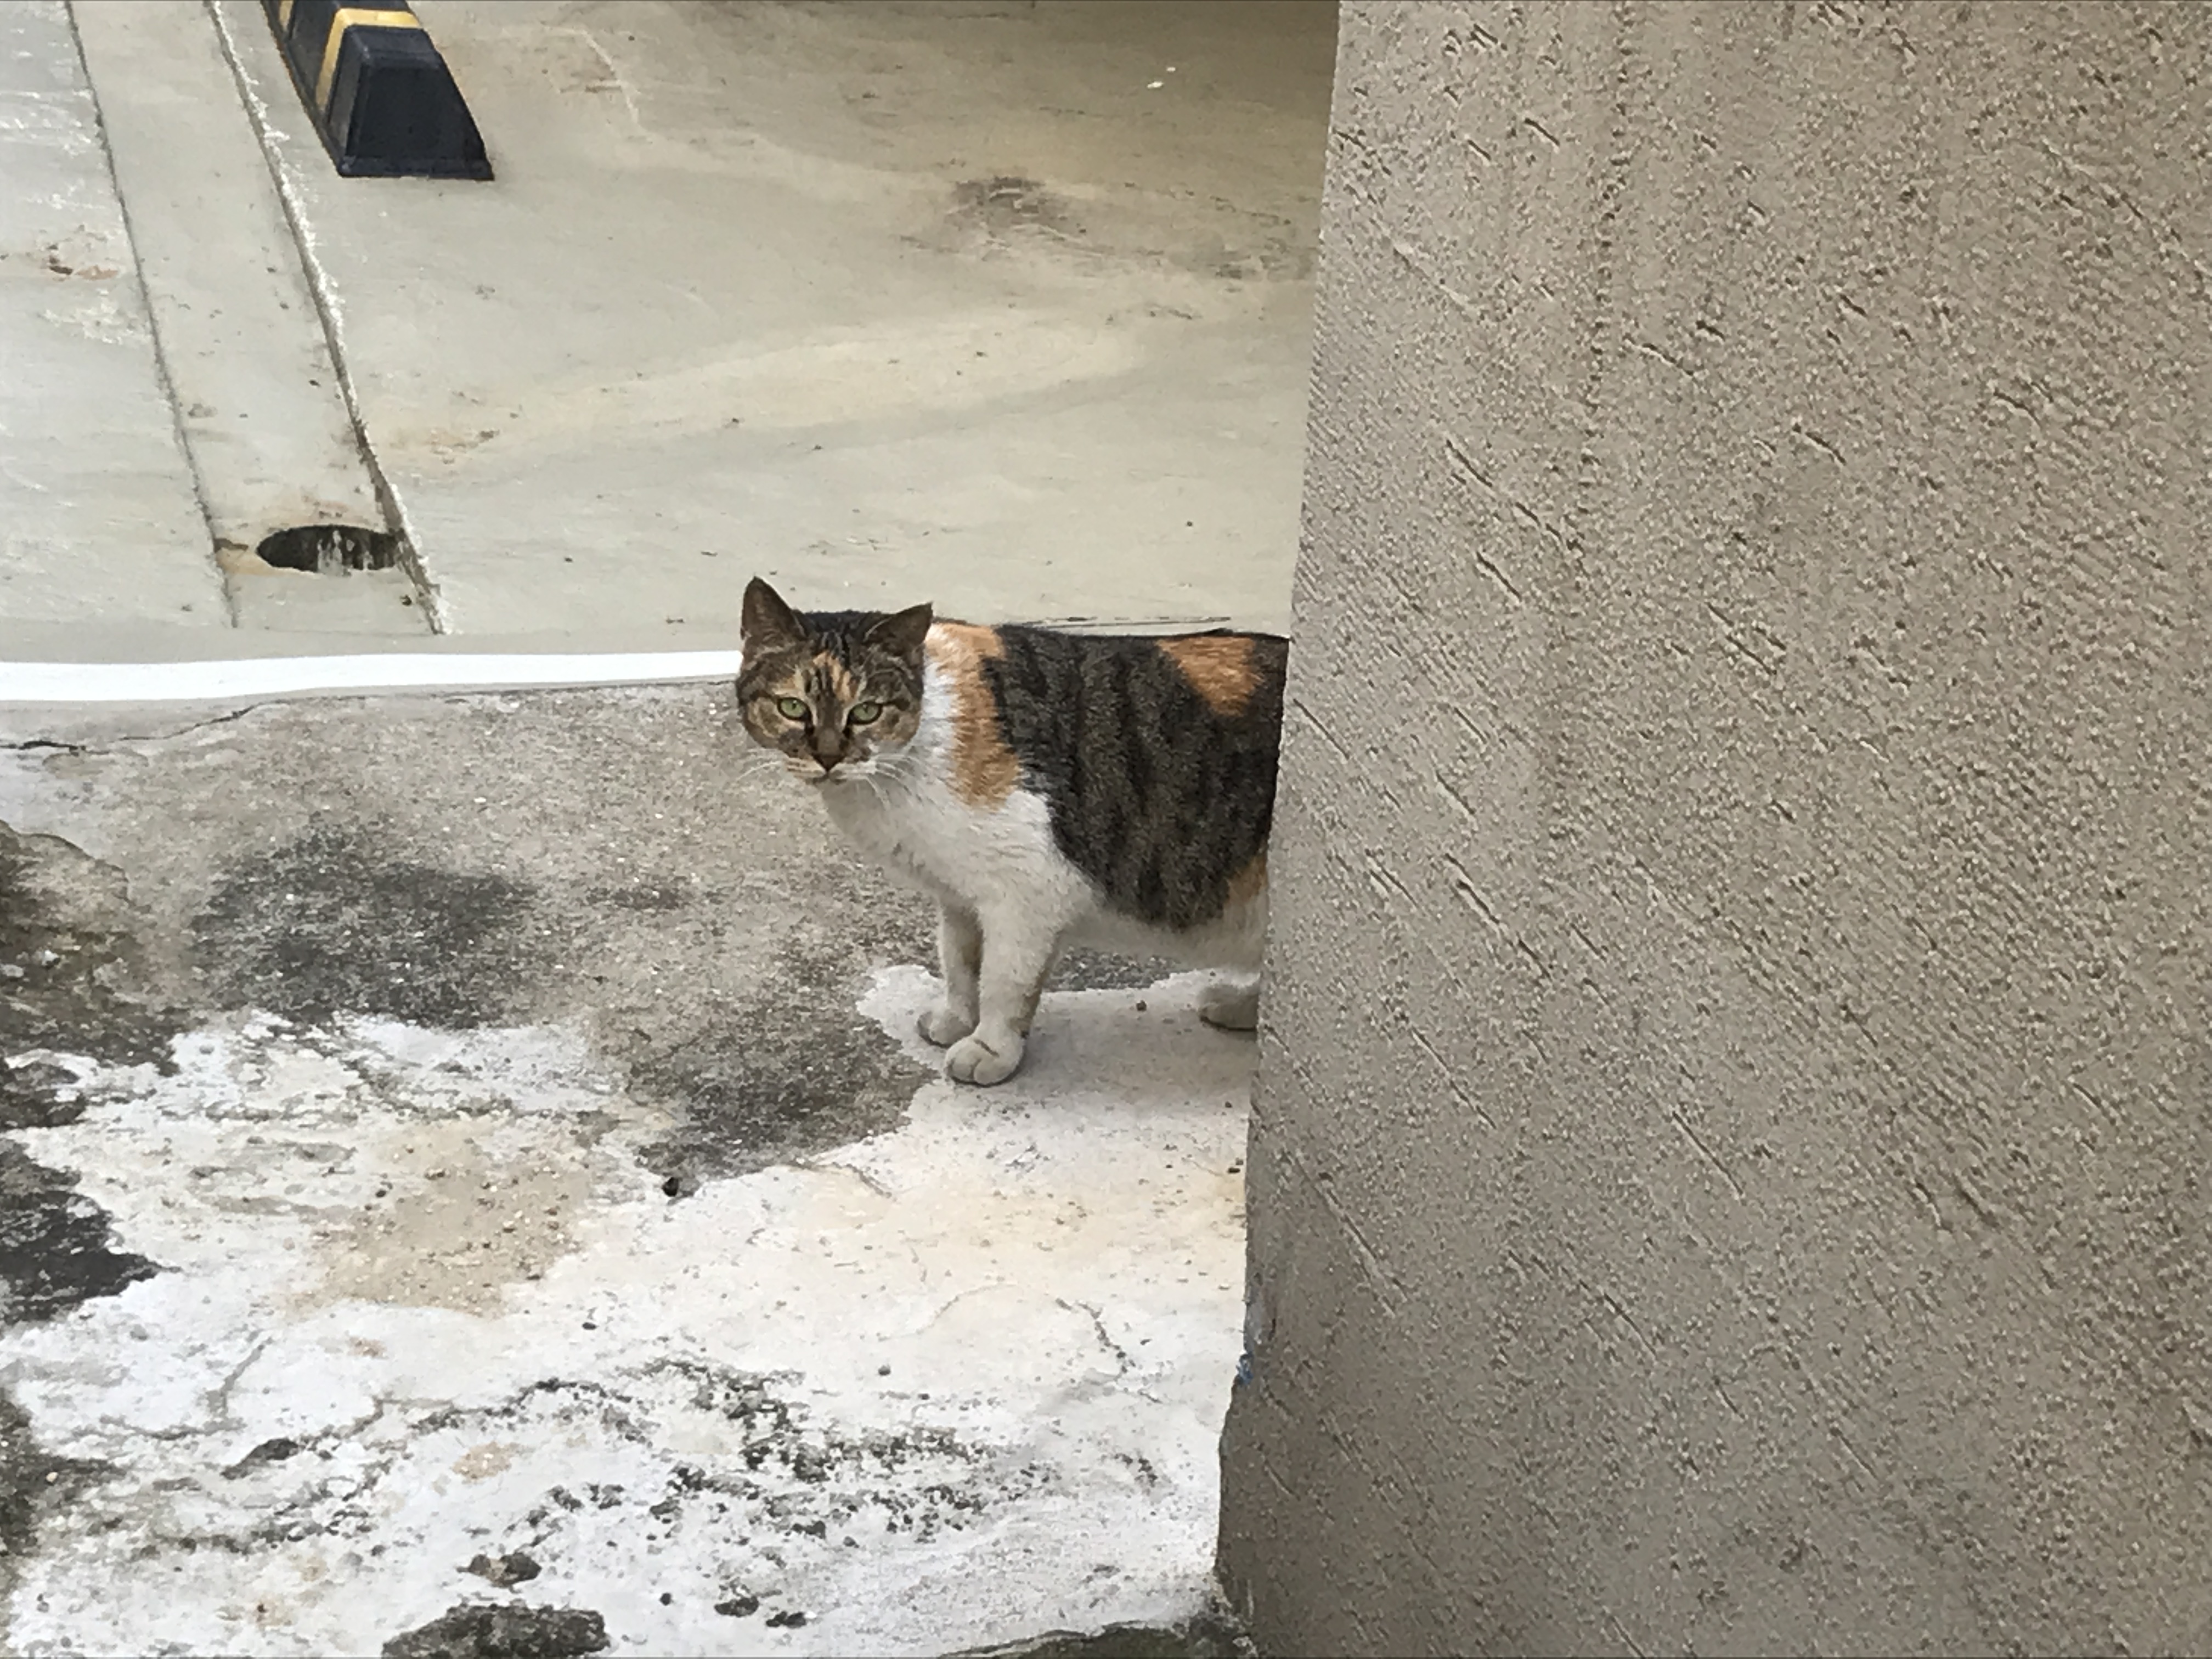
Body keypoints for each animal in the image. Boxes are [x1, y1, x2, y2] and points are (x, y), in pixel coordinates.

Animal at [735, 576, 1286, 1086]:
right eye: (792, 707)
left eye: (867, 711)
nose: (828, 757)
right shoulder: (958, 896)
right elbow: (959, 962)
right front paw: (957, 1019)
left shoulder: (1025, 896)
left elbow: (1005, 982)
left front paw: (990, 1049)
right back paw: (1241, 1009)